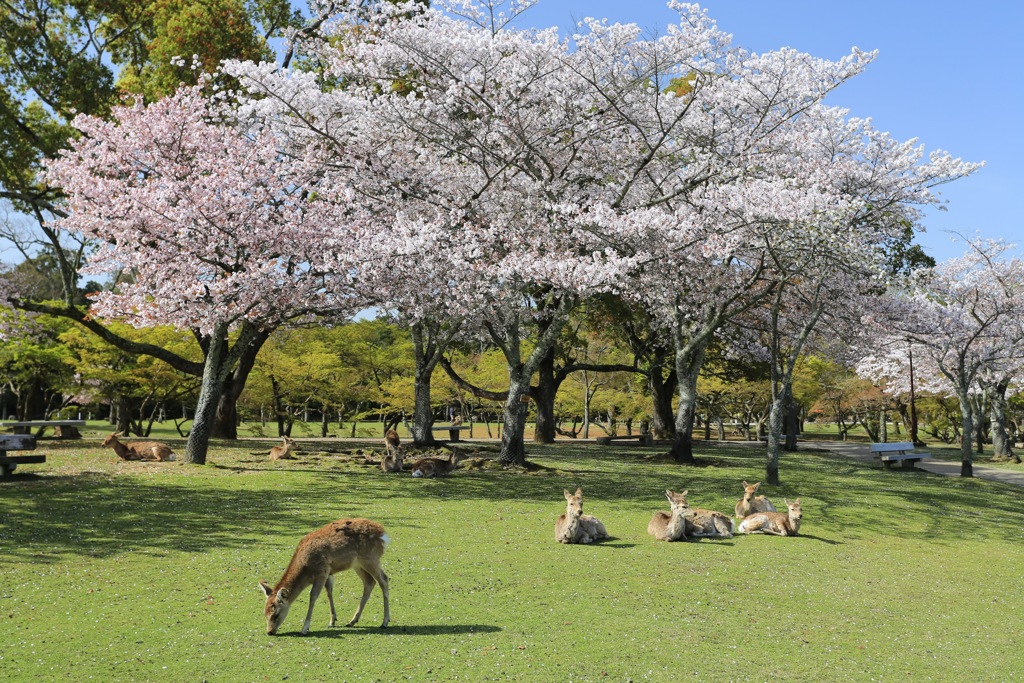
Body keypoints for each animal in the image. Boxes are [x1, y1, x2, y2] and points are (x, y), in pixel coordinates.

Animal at [260, 518, 391, 634]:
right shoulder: (328, 572)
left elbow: (313, 596)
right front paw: (332, 621)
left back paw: (385, 622)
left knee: (384, 580)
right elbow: (329, 591)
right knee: (370, 582)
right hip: (357, 564)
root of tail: (383, 534)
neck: (306, 570)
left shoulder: (322, 571)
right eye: (264, 613)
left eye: (276, 614)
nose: (269, 632)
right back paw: (352, 621)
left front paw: (305, 628)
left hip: (371, 558)